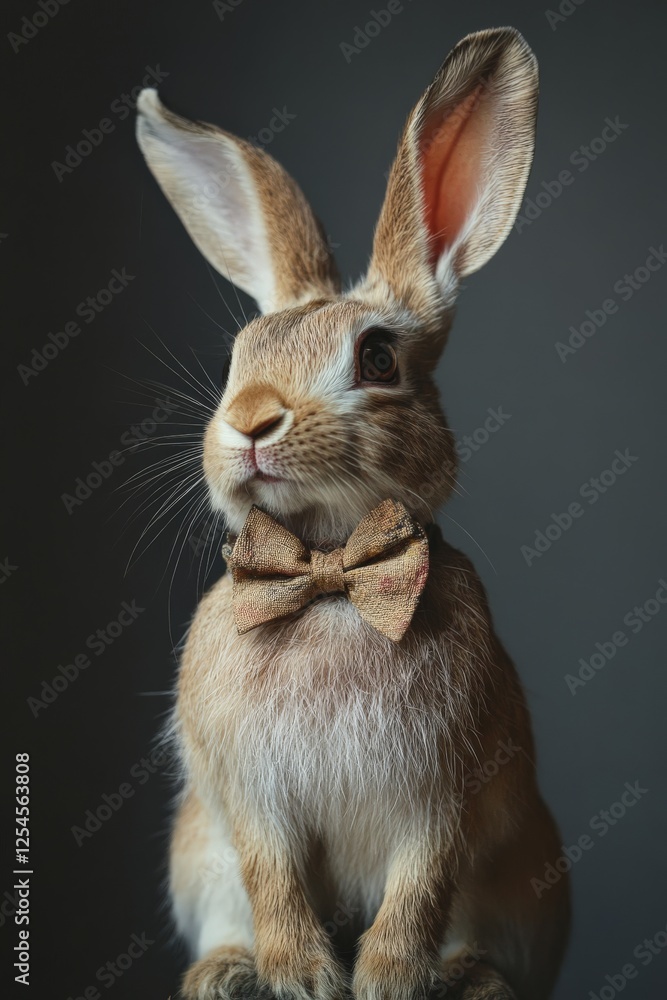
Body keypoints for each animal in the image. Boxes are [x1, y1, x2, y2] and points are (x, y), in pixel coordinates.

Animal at [136, 26, 570, 1000]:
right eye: (240, 354)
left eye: (376, 359)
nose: (249, 420)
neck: (331, 572)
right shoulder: (250, 800)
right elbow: (271, 874)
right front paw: (300, 974)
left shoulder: (444, 793)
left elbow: (420, 884)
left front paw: (386, 980)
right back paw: (225, 971)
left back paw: (469, 977)